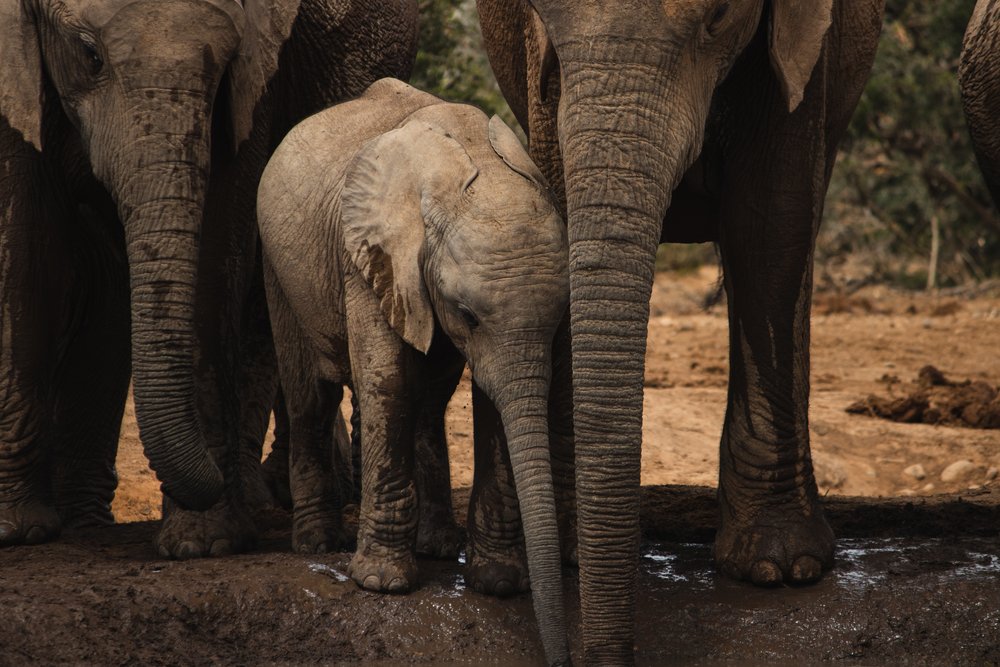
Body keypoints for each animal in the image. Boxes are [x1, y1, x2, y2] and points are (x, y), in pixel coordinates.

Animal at [0, 1, 416, 560]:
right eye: (90, 56)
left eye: (224, 65)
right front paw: (18, 532)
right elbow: (27, 245)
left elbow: (220, 240)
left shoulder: (253, 77)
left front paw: (203, 542)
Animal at [258, 81, 572, 664]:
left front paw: (498, 583)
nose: (561, 658)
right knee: (310, 395)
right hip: (278, 267)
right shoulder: (365, 257)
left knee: (431, 398)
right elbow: (388, 383)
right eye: (467, 314)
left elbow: (493, 401)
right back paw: (317, 543)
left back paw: (439, 545)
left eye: (561, 317)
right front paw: (382, 585)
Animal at [476, 0, 884, 664]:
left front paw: (781, 567)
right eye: (537, 10)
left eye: (717, 17)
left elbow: (769, 221)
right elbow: (557, 194)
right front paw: (567, 552)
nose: (584, 654)